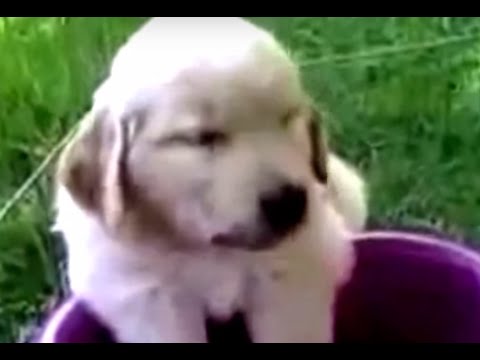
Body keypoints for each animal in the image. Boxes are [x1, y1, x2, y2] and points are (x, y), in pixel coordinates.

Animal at [53, 17, 368, 344]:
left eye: (287, 119)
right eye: (202, 138)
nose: (290, 202)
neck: (210, 251)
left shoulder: (292, 274)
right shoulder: (151, 299)